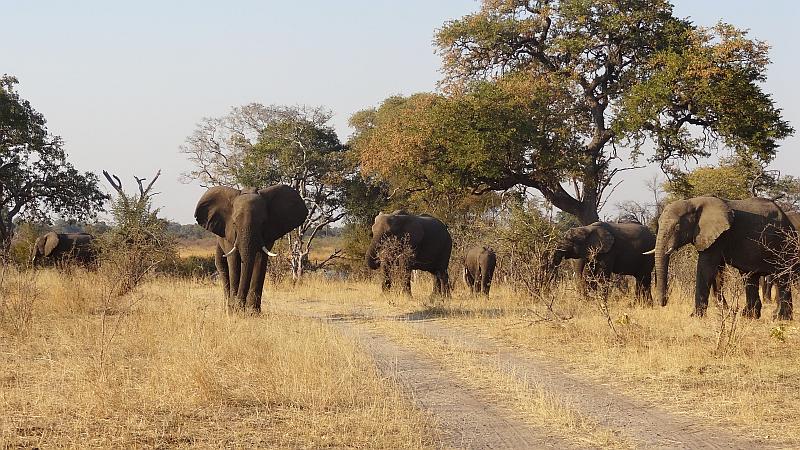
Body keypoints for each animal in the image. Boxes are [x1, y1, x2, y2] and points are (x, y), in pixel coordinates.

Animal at [194, 185, 306, 314]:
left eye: (263, 223)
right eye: (234, 223)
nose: (239, 306)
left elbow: (260, 259)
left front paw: (252, 312)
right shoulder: (229, 232)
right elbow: (234, 261)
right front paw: (234, 310)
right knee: (221, 265)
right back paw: (227, 306)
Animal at [652, 197, 796, 320]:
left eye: (677, 227)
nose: (663, 303)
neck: (693, 202)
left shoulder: (718, 236)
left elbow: (706, 268)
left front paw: (695, 317)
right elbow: (717, 271)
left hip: (783, 244)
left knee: (782, 277)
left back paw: (780, 318)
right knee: (750, 277)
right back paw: (749, 316)